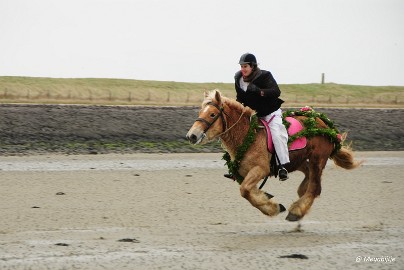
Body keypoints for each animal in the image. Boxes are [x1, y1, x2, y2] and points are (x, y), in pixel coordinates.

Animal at [185, 90, 362, 221]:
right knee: (308, 178)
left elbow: (245, 191)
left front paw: (273, 208)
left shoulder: (260, 169)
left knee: (315, 188)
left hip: (317, 160)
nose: (191, 136)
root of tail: (325, 124)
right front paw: (268, 201)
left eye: (212, 114)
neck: (248, 136)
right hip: (298, 161)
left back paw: (297, 211)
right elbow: (249, 192)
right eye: (201, 111)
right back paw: (301, 194)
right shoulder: (246, 174)